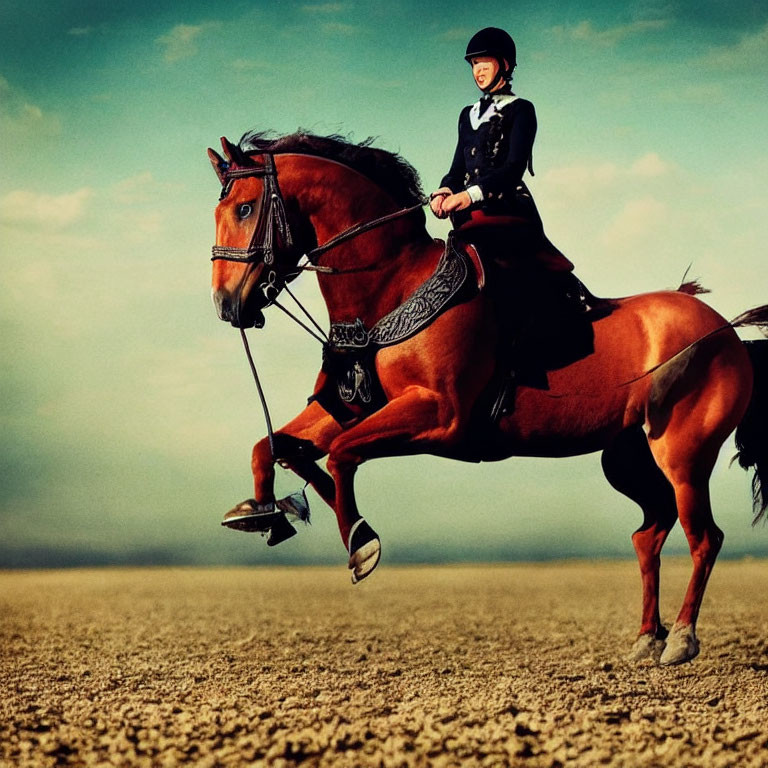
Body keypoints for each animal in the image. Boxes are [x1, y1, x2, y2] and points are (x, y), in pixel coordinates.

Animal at [208, 132, 768, 664]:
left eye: (245, 208)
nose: (227, 304)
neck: (392, 289)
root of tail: (727, 332)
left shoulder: (439, 416)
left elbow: (342, 454)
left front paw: (360, 542)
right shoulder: (350, 406)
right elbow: (275, 448)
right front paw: (265, 512)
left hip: (684, 455)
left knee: (704, 538)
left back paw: (682, 640)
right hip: (629, 456)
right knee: (649, 535)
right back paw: (648, 639)